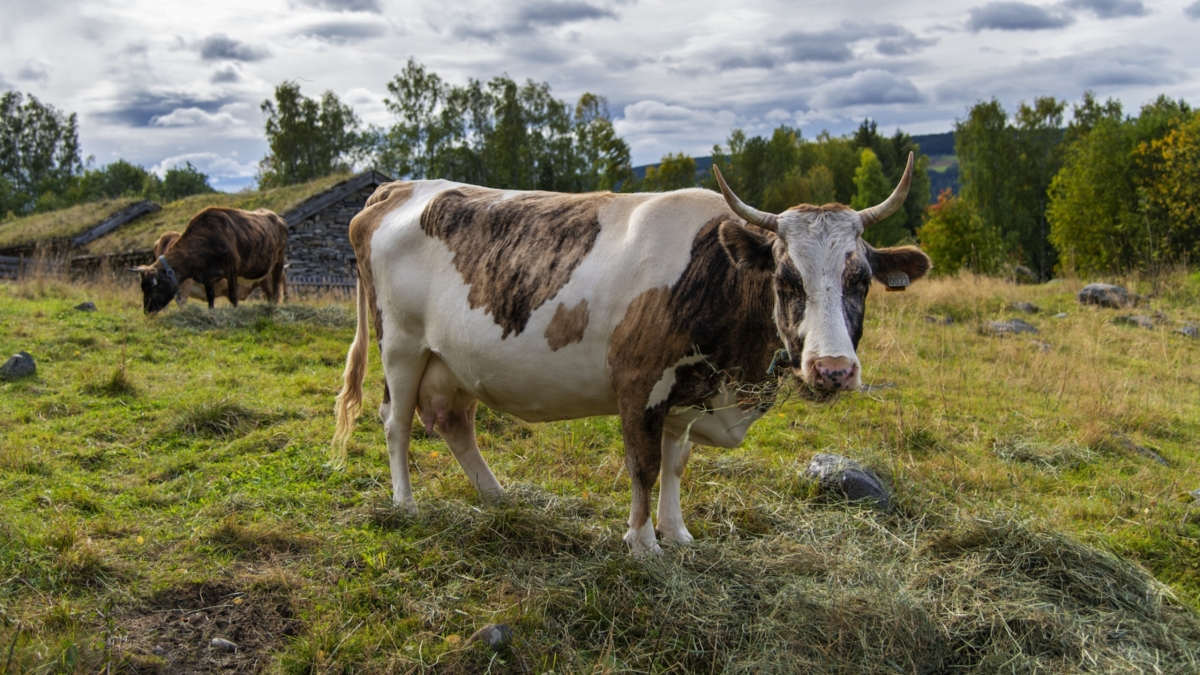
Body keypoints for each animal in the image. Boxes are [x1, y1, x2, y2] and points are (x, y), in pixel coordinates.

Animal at [132, 205, 288, 312]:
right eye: (143, 287)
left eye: (152, 288)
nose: (147, 311)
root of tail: (278, 217)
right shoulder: (208, 276)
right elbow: (210, 298)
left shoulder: (232, 267)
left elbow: (233, 296)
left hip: (278, 261)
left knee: (276, 288)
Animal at [333, 154, 931, 554]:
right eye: (786, 280)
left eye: (861, 280)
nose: (833, 370)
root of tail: (399, 188)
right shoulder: (638, 383)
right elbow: (642, 463)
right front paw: (644, 545)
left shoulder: (687, 393)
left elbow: (674, 462)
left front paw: (678, 532)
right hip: (402, 346)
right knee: (395, 423)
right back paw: (406, 505)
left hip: (454, 362)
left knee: (455, 424)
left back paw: (499, 498)